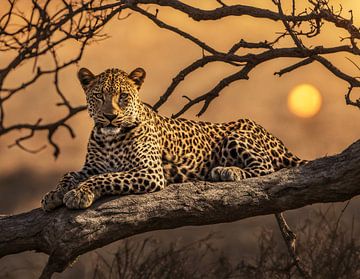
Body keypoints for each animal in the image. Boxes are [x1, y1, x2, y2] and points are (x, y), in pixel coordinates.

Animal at [42, 67, 306, 212]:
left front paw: (78, 194)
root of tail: (276, 138)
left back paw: (227, 171)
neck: (110, 139)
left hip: (237, 134)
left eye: (123, 96)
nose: (110, 116)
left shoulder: (149, 171)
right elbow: (71, 174)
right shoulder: (92, 166)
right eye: (98, 96)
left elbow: (105, 178)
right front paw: (53, 194)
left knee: (266, 167)